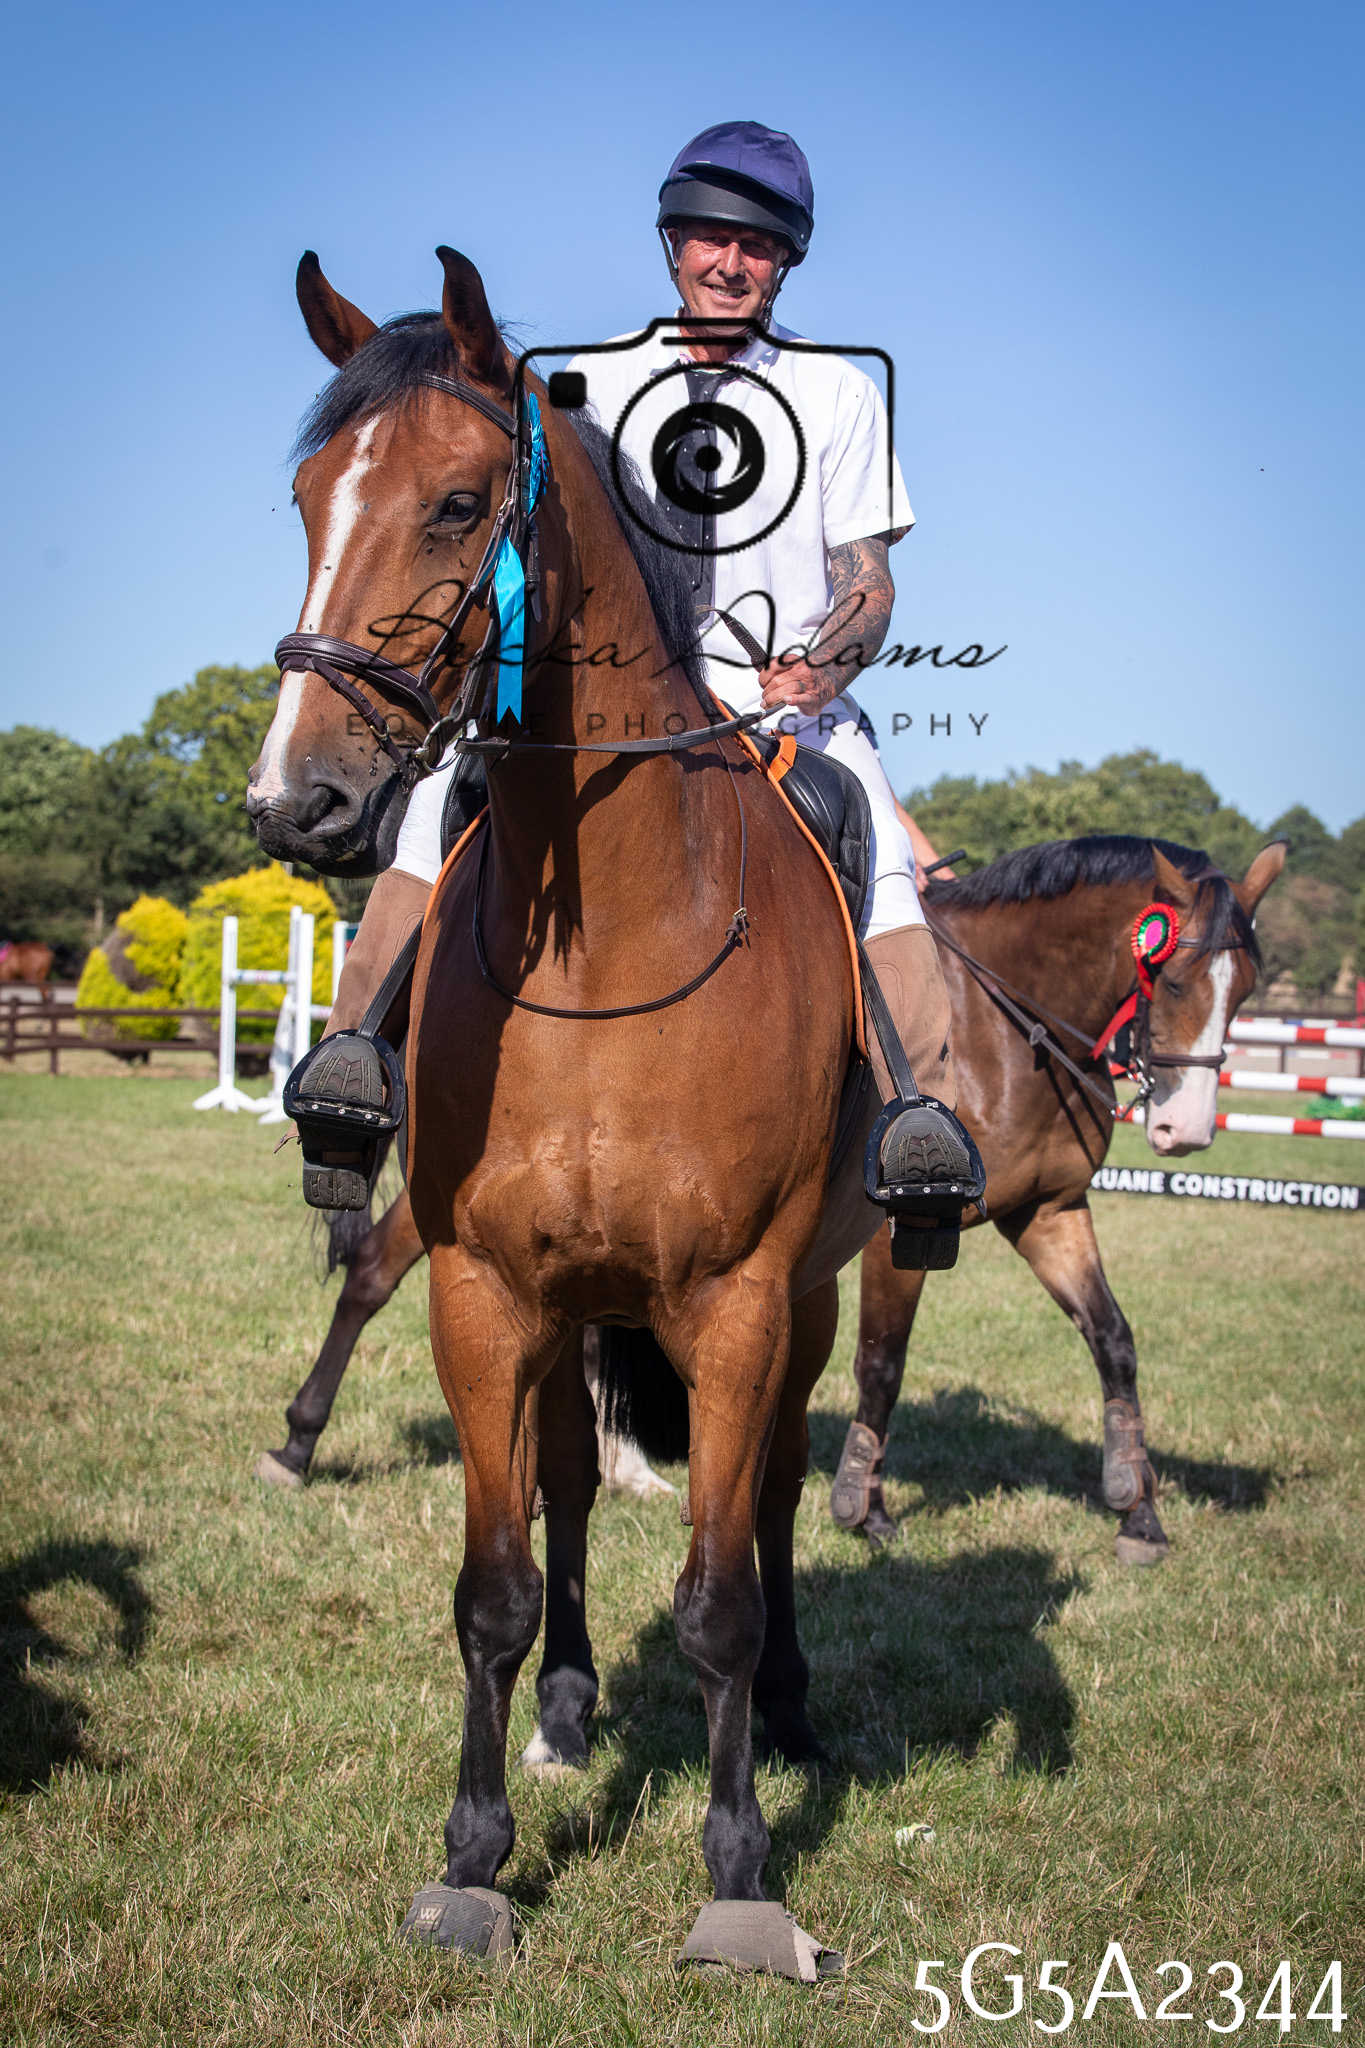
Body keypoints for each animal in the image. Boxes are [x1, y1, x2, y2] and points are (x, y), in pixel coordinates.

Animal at [247, 247, 889, 1970]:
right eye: (307, 497)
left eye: (461, 505)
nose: (295, 804)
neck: (616, 943)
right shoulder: (486, 1291)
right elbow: (496, 1581)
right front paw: (476, 1856)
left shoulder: (737, 1305)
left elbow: (722, 1593)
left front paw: (740, 1875)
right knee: (572, 1491)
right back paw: (569, 1709)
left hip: (807, 1303)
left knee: (773, 1498)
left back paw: (789, 1709)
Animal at [832, 834, 1286, 1561]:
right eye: (1174, 982)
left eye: (1242, 991)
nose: (1184, 1132)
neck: (1003, 1034)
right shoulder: (895, 1234)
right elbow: (881, 1361)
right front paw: (863, 1510)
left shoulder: (1048, 1213)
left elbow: (1113, 1341)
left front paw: (1137, 1510)